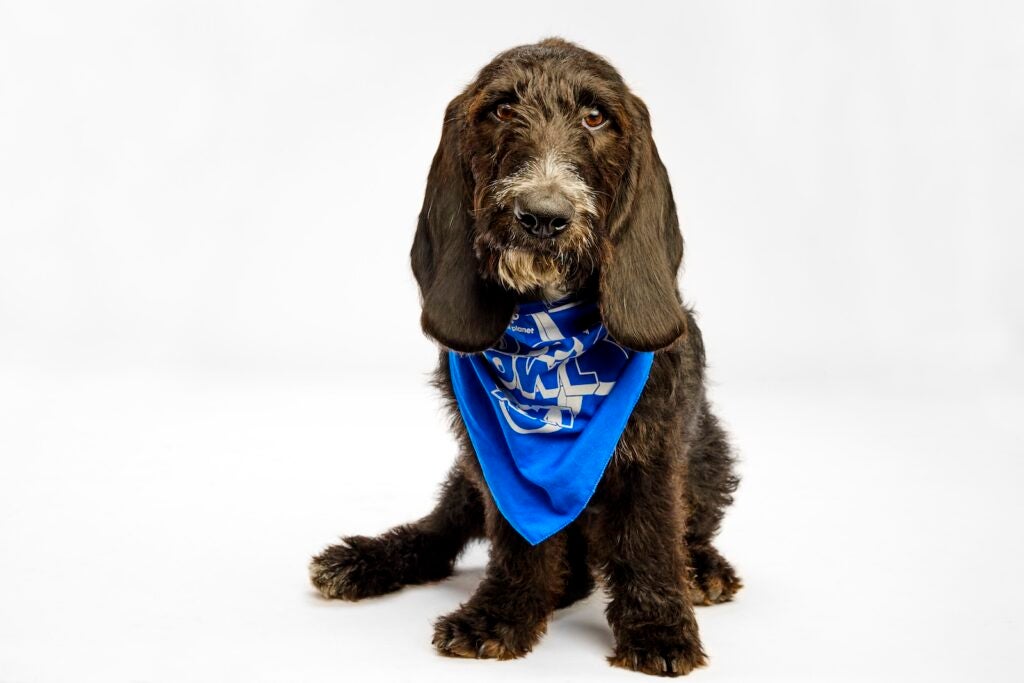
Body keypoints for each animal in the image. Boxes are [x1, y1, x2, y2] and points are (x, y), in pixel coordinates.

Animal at [307, 38, 741, 679]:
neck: (551, 333)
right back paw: (368, 559)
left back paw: (702, 569)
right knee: (442, 531)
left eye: (596, 117)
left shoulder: (653, 450)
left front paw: (658, 627)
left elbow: (648, 535)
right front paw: (503, 614)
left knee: (682, 532)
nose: (543, 215)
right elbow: (517, 540)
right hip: (467, 474)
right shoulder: (495, 465)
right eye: (503, 110)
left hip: (711, 456)